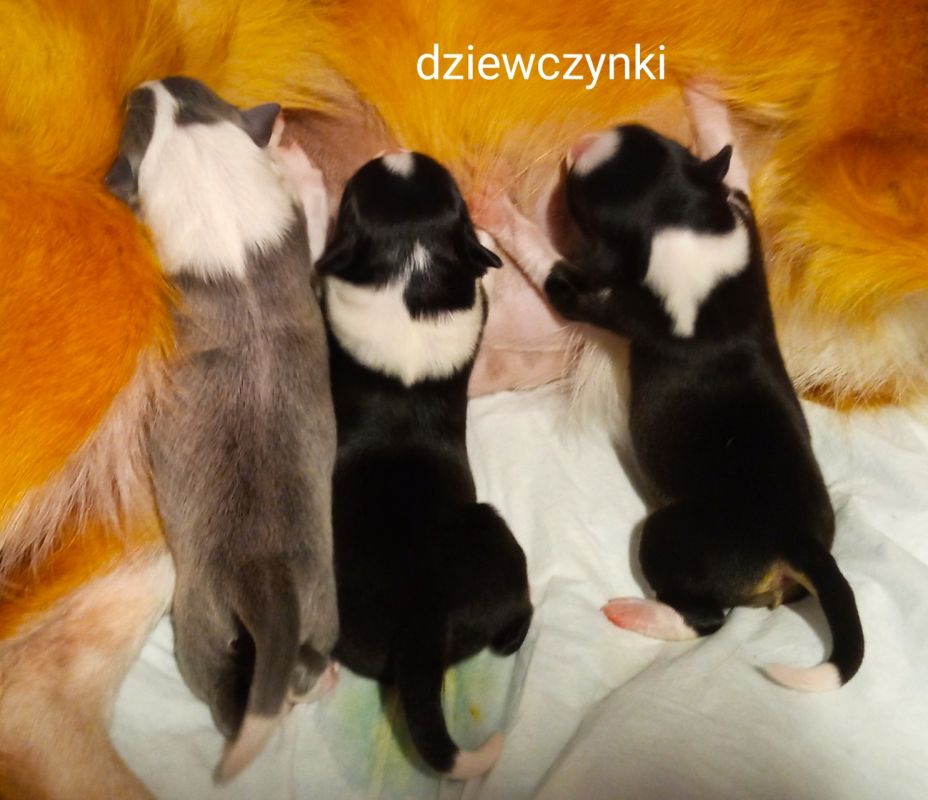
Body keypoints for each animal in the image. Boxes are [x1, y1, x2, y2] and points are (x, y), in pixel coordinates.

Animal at [104, 76, 339, 778]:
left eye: (136, 115)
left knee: (223, 697)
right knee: (303, 670)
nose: (146, 82)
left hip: (199, 628)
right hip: (320, 610)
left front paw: (299, 168)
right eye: (196, 91)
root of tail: (271, 590)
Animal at [316, 150, 533, 779]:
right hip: (494, 539)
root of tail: (424, 623)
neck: (410, 266)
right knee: (520, 612)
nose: (400, 154)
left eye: (349, 201)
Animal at [477, 125, 864, 692]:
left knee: (706, 618)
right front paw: (712, 117)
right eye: (656, 139)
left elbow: (542, 255)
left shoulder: (591, 295)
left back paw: (637, 613)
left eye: (577, 196)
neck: (683, 220)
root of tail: (796, 542)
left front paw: (498, 207)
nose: (582, 141)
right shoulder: (742, 218)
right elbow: (736, 171)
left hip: (670, 536)